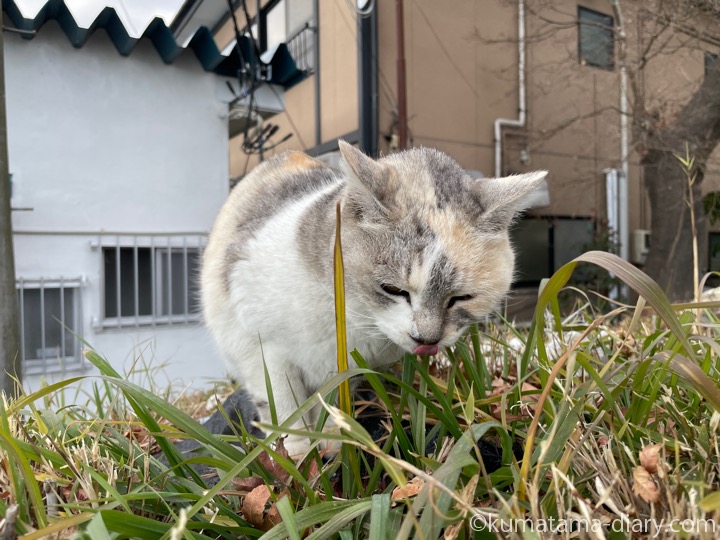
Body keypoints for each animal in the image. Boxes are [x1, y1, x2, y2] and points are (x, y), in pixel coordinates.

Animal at [202, 141, 544, 454]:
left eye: (461, 297)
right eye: (393, 290)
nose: (427, 339)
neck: (345, 313)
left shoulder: (342, 369)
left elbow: (331, 405)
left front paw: (332, 444)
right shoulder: (263, 351)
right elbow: (285, 409)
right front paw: (297, 453)